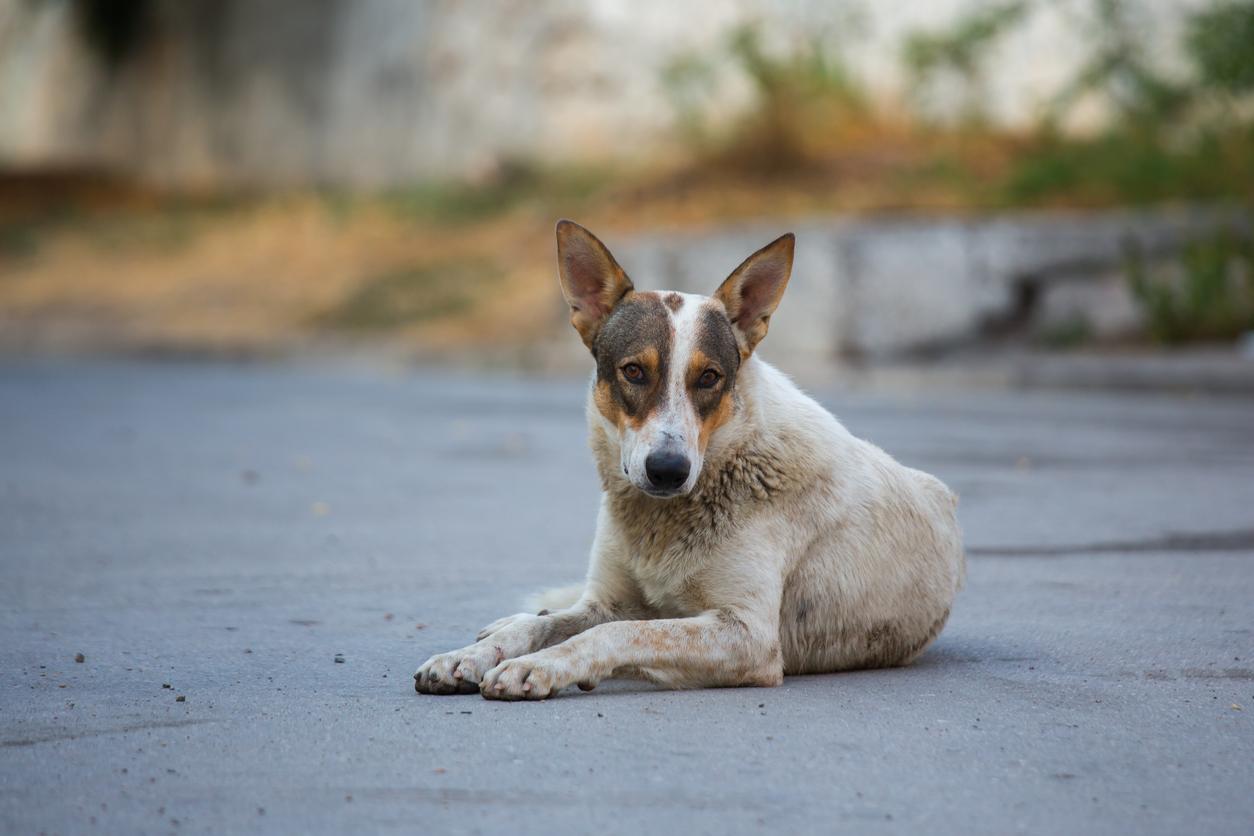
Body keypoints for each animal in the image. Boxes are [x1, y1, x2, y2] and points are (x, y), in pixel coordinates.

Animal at [416, 220, 963, 701]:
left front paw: (542, 666)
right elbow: (548, 626)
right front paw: (466, 656)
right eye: (634, 372)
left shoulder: (747, 636)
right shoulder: (608, 601)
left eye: (710, 378)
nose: (667, 470)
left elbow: (617, 634)